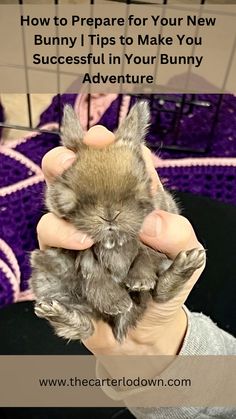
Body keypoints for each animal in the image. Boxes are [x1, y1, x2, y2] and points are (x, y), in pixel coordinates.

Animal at [30, 101, 206, 342]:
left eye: (143, 182)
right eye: (68, 191)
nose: (110, 214)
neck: (114, 242)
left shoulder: (150, 245)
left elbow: (144, 257)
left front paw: (140, 282)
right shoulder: (82, 254)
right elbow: (93, 272)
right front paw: (116, 303)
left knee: (160, 295)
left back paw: (186, 265)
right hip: (47, 281)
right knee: (86, 325)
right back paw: (55, 310)